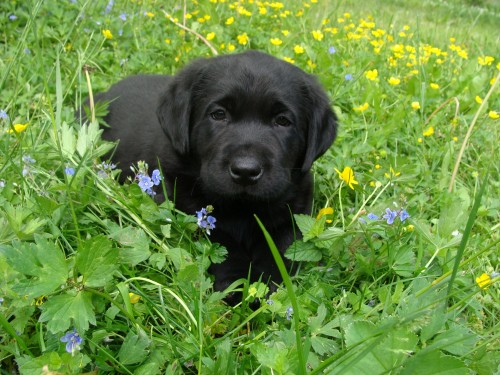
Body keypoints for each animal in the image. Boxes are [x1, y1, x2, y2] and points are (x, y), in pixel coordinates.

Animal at [88, 51, 338, 302]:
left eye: (283, 121)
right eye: (218, 114)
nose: (245, 170)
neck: (242, 208)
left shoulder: (294, 211)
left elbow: (281, 247)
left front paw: (267, 285)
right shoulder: (187, 208)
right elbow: (221, 240)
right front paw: (237, 284)